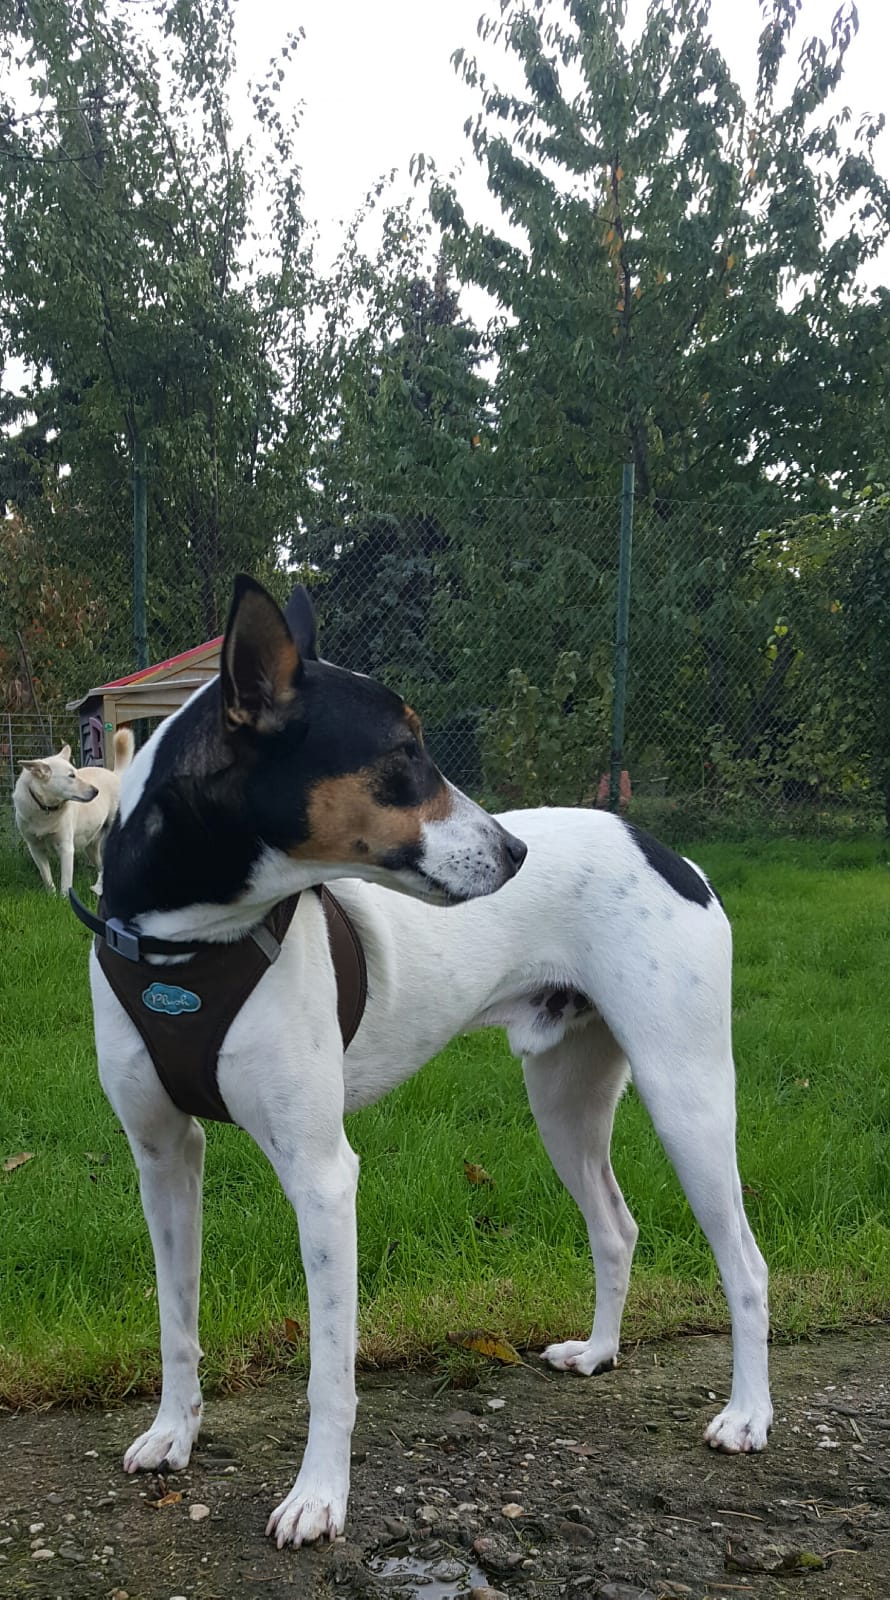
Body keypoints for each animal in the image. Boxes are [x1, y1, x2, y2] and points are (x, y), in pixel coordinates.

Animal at [14, 729, 134, 895]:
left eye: (77, 773)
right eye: (71, 776)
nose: (96, 791)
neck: (46, 810)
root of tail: (115, 774)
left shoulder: (66, 848)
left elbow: (66, 882)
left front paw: (64, 898)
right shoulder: (35, 849)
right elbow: (47, 877)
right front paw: (52, 895)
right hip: (92, 848)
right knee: (102, 868)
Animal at [85, 576, 771, 1548]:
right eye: (403, 753)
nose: (516, 853)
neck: (189, 942)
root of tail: (664, 850)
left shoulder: (323, 1176)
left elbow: (330, 1371)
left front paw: (318, 1496)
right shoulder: (163, 1159)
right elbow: (175, 1321)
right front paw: (174, 1432)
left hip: (688, 1099)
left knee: (745, 1265)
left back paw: (748, 1416)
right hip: (565, 1106)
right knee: (616, 1226)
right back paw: (599, 1352)